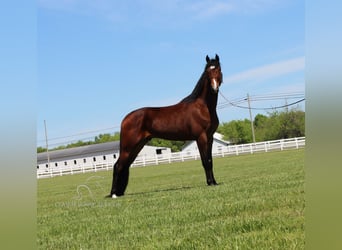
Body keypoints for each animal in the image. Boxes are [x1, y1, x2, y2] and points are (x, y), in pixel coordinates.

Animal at [108, 54, 223, 197]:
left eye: (218, 69)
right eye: (207, 72)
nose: (214, 88)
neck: (203, 107)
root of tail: (126, 119)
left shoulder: (210, 137)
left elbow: (210, 160)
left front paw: (214, 182)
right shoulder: (201, 137)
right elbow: (205, 161)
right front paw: (209, 182)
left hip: (137, 146)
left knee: (125, 165)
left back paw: (118, 192)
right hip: (128, 147)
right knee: (118, 166)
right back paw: (113, 194)